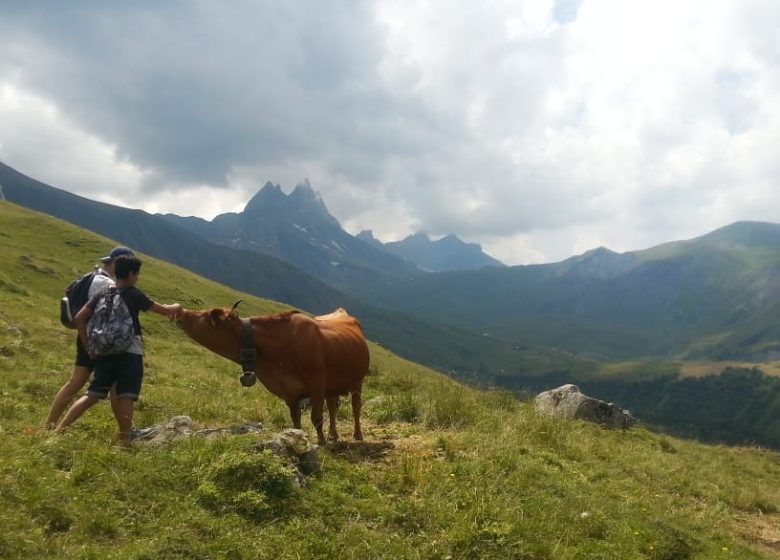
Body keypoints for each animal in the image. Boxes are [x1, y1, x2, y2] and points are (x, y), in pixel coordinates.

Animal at [177, 304, 372, 444]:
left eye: (206, 315)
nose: (181, 313)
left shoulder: (316, 383)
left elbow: (316, 417)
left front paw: (322, 442)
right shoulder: (289, 390)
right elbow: (296, 419)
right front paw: (301, 438)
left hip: (357, 381)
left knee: (355, 407)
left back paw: (357, 435)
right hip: (332, 387)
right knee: (332, 408)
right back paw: (333, 435)